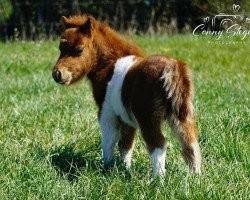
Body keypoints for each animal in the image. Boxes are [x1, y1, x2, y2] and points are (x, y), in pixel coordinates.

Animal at [52, 14, 201, 176]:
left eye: (79, 49)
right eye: (60, 48)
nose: (57, 74)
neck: (108, 67)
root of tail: (172, 68)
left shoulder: (107, 113)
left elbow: (109, 141)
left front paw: (107, 168)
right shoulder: (126, 118)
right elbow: (126, 144)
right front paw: (125, 169)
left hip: (147, 118)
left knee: (158, 144)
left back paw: (158, 179)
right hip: (182, 115)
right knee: (191, 143)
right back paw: (196, 177)